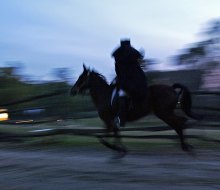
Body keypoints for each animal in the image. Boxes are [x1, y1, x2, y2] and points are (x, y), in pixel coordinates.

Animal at [70, 64, 199, 157]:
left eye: (81, 77)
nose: (72, 91)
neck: (104, 95)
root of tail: (171, 88)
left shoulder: (108, 120)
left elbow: (104, 138)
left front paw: (117, 148)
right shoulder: (110, 121)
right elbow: (113, 133)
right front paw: (120, 149)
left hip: (164, 113)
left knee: (179, 123)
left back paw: (186, 147)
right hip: (166, 113)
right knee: (179, 123)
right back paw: (187, 146)